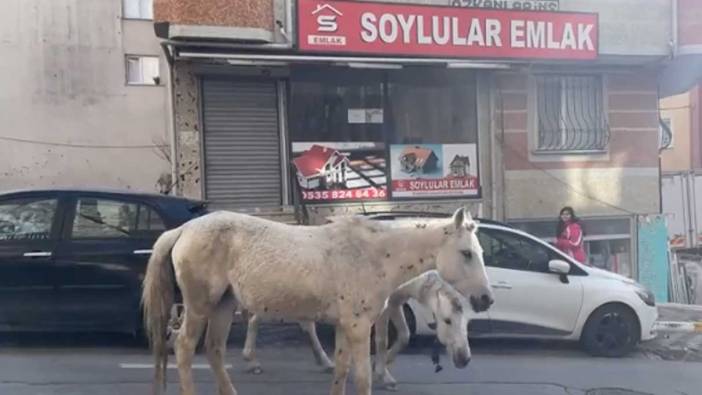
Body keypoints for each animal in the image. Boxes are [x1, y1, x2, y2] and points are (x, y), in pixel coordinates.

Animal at [142, 207, 496, 395]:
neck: (374, 254)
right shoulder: (358, 327)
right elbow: (362, 377)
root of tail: (182, 229)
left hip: (224, 306)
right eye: (467, 253)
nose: (486, 299)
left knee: (214, 350)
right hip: (201, 306)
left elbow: (340, 370)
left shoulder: (344, 327)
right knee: (184, 347)